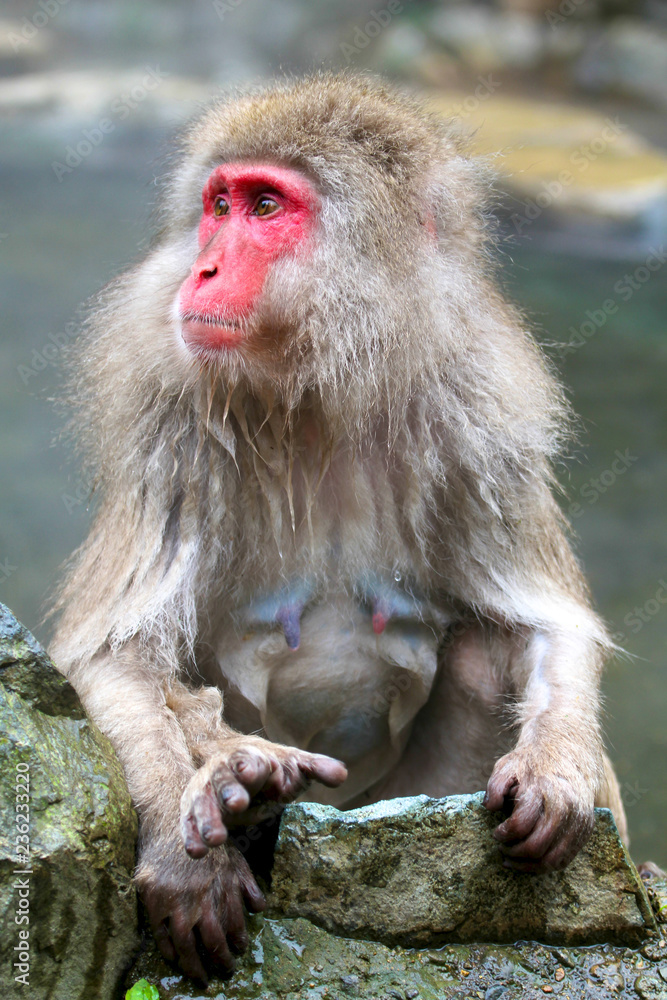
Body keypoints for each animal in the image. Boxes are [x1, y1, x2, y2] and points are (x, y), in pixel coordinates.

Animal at [49, 74, 628, 982]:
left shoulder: (485, 413)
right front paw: (185, 856)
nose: (203, 266)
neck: (318, 386)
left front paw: (556, 772)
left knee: (482, 649)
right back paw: (246, 785)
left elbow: (544, 620)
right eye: (218, 205)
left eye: (264, 206)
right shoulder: (163, 416)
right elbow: (116, 654)